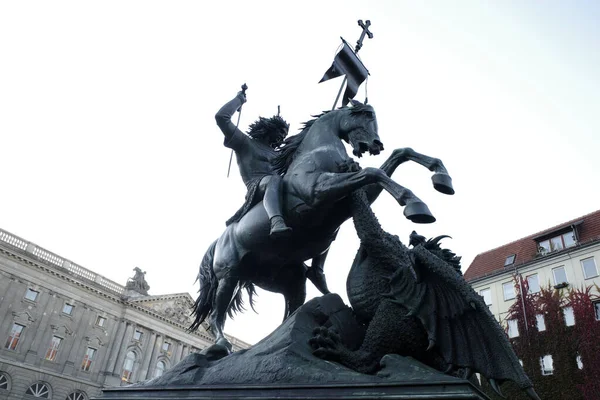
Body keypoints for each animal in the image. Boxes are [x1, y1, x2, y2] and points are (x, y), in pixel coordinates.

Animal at [190, 101, 452, 352]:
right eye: (366, 114)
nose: (377, 144)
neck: (318, 152)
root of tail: (217, 242)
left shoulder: (348, 201)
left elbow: (397, 156)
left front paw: (441, 177)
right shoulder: (318, 191)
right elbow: (373, 172)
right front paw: (415, 204)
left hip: (287, 281)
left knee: (290, 311)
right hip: (229, 274)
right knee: (217, 313)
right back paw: (221, 345)